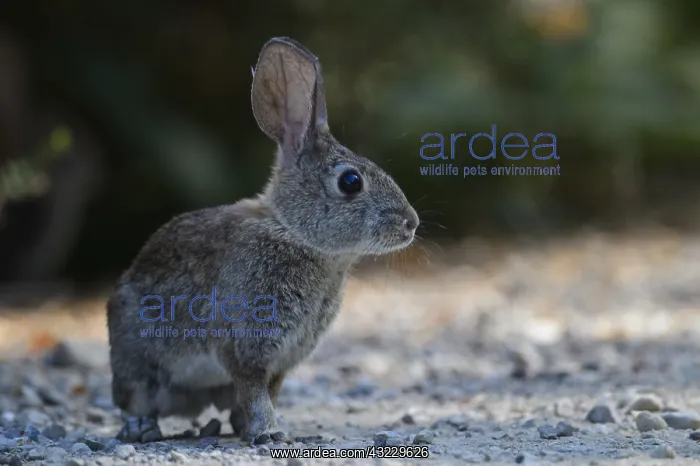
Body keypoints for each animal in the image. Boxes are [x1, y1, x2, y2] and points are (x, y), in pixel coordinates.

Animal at [106, 36, 419, 446]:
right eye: (351, 182)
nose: (411, 223)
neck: (294, 232)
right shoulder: (244, 344)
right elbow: (255, 391)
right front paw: (269, 433)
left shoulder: (285, 357)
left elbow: (269, 391)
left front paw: (266, 428)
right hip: (138, 364)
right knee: (134, 401)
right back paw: (142, 428)